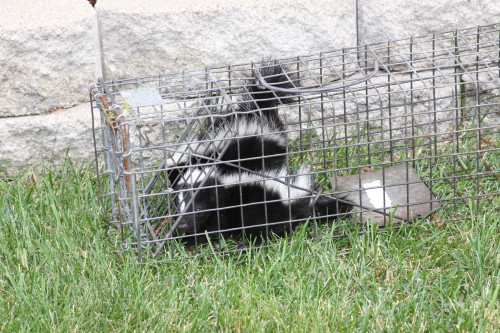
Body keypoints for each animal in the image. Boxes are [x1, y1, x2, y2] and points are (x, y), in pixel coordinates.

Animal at [172, 165, 352, 241]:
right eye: (178, 209)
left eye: (198, 208)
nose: (182, 226)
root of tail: (288, 198)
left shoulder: (222, 209)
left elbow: (214, 230)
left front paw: (186, 240)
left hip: (259, 210)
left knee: (265, 229)